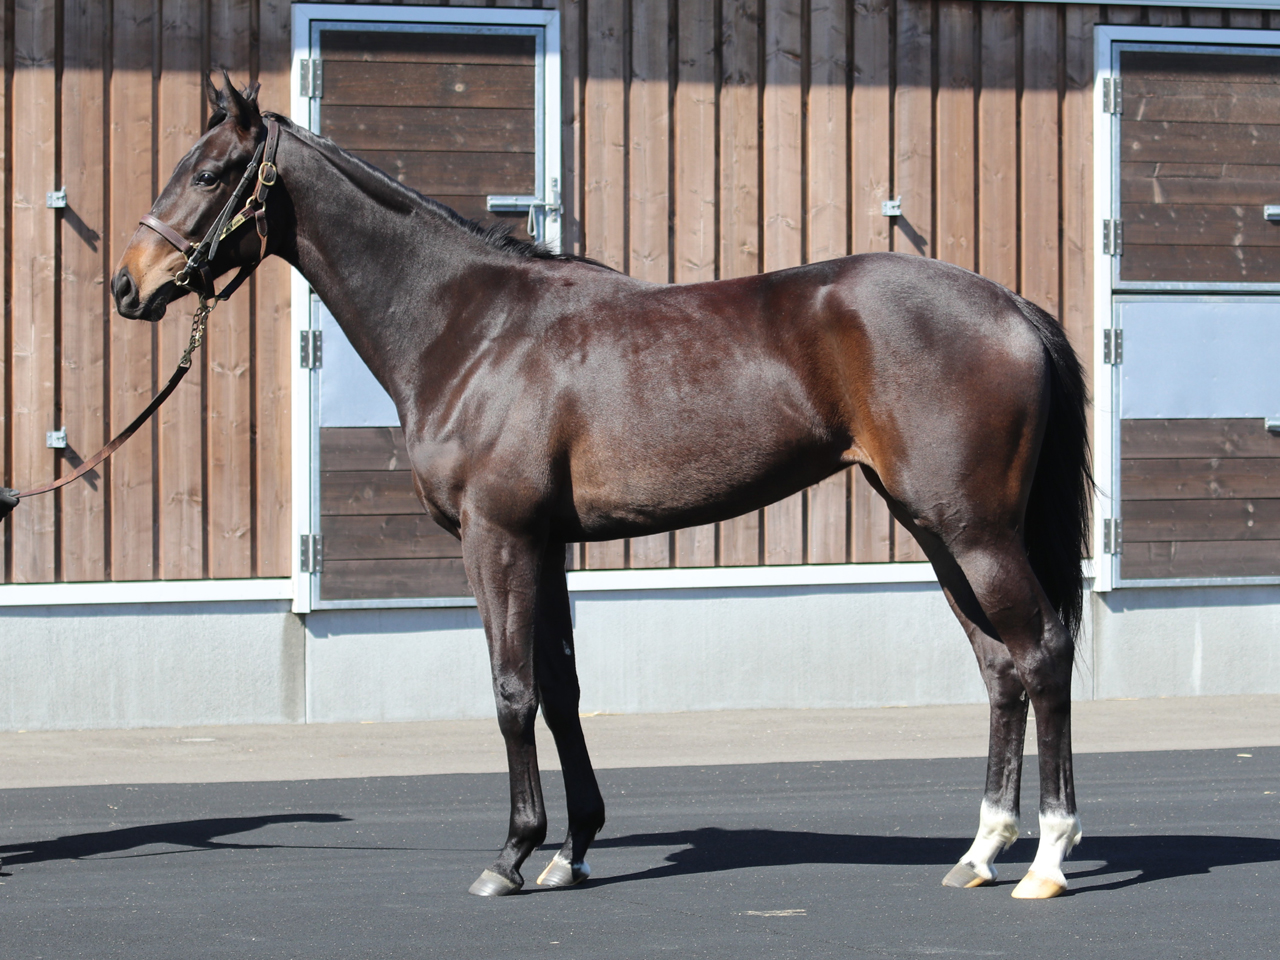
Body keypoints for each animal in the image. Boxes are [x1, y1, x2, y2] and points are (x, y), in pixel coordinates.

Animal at [112, 76, 1091, 901]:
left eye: (209, 172)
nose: (129, 284)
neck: (472, 327)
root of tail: (1012, 307)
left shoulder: (497, 537)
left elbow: (512, 692)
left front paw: (510, 855)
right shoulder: (545, 546)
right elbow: (562, 691)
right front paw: (571, 850)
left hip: (974, 532)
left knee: (1042, 653)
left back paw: (1047, 855)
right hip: (934, 529)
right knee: (999, 667)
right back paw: (981, 850)